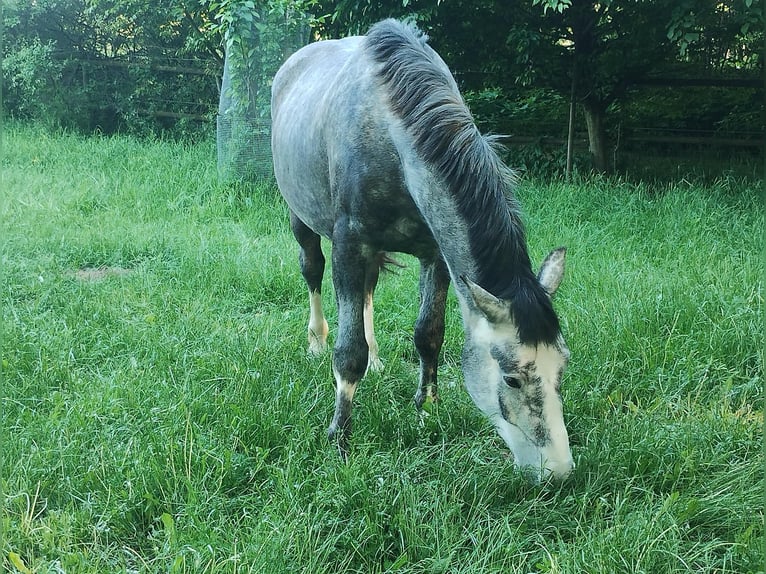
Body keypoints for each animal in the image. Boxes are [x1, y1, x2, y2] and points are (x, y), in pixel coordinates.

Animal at [271, 19, 574, 481]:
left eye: (562, 367)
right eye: (512, 379)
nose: (557, 472)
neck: (390, 135)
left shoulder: (434, 254)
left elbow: (428, 334)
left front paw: (426, 407)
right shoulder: (349, 246)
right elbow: (348, 353)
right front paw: (340, 439)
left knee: (369, 290)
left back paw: (378, 360)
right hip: (301, 219)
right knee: (312, 270)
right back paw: (316, 341)